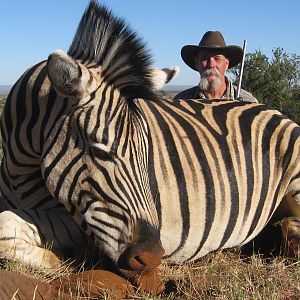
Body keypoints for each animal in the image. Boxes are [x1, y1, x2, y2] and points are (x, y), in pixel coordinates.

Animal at [0, 0, 300, 294]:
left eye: (147, 154)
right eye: (99, 150)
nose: (153, 257)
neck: (20, 170)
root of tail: (271, 109)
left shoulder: (79, 224)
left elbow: (6, 224)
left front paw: (58, 258)